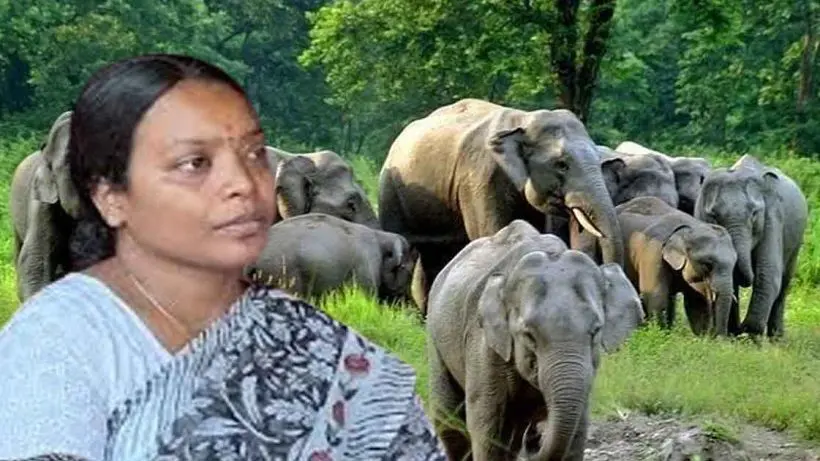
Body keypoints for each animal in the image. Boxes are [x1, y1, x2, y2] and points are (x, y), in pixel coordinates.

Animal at [379, 98, 625, 314]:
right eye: (561, 164)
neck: (523, 120)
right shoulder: (481, 178)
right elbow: (493, 231)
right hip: (391, 189)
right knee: (407, 245)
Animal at [426, 219, 643, 461]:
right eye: (529, 334)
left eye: (596, 330)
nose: (535, 443)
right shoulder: (483, 345)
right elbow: (486, 428)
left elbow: (577, 433)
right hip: (436, 340)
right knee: (449, 420)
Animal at [607, 196, 738, 336]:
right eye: (707, 265)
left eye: (734, 265)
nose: (719, 338)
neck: (688, 229)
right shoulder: (653, 252)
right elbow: (656, 296)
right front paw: (658, 335)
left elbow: (697, 303)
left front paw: (700, 337)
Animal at [694, 154, 808, 339]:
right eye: (713, 215)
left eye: (754, 214)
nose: (740, 328)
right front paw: (734, 334)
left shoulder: (772, 217)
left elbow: (768, 273)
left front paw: (748, 335)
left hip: (796, 242)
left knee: (784, 281)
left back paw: (776, 338)